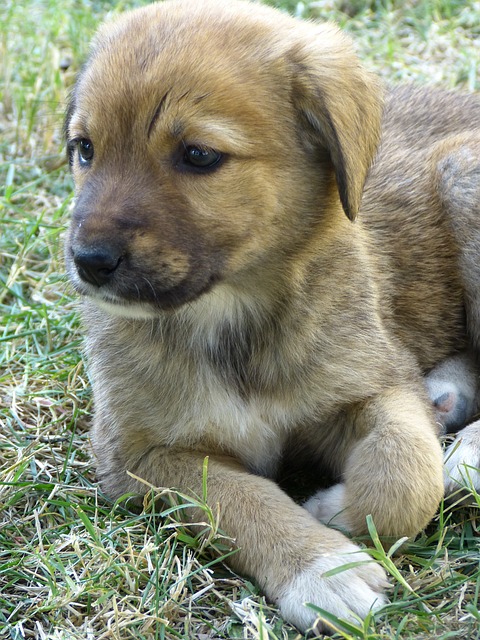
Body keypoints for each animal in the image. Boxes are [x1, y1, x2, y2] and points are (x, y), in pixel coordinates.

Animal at [65, 0, 480, 632]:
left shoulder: (377, 380)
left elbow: (404, 474)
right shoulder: (141, 455)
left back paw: (462, 458)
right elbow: (238, 497)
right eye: (85, 149)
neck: (233, 317)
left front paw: (339, 511)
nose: (88, 262)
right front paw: (321, 568)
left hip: (465, 175)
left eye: (198, 155)